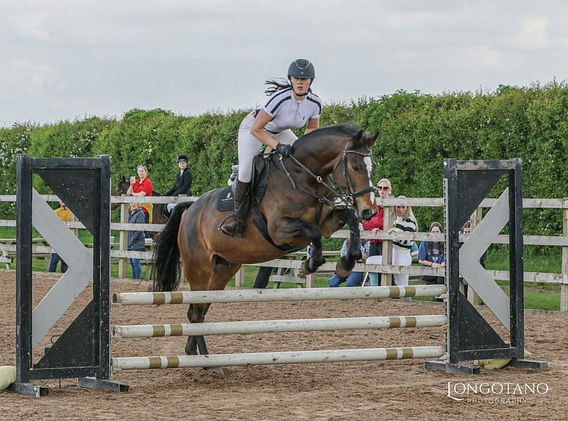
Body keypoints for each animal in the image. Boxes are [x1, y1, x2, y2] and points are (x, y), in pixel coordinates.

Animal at [153, 124, 378, 360]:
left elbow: (348, 218)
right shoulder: (279, 231)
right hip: (199, 269)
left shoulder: (327, 222)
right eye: (355, 167)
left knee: (198, 311)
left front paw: (347, 262)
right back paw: (206, 360)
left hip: (222, 269)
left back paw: (194, 353)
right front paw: (310, 264)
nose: (369, 210)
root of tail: (190, 210)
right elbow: (314, 232)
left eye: (373, 168)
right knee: (196, 313)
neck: (302, 178)